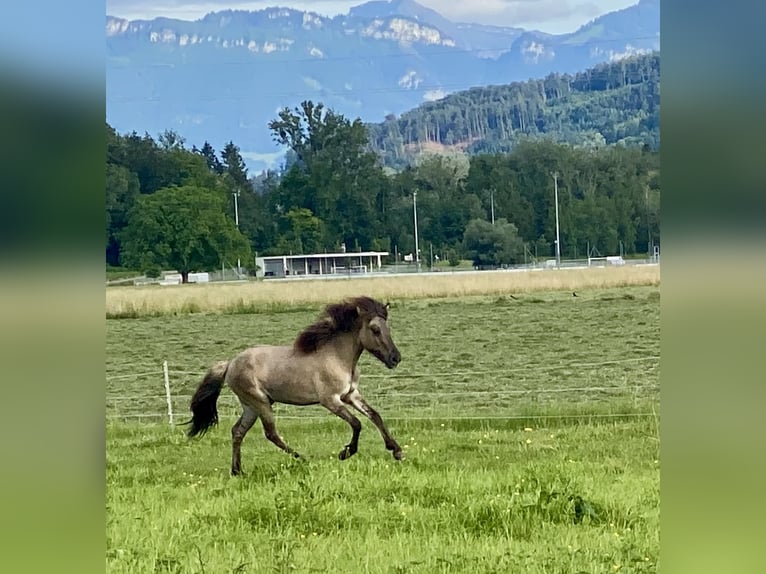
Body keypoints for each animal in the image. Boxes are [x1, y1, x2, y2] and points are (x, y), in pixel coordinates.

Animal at [187, 296, 404, 476]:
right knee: (271, 434)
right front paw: (346, 452)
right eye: (375, 330)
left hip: (250, 406)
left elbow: (375, 415)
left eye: (388, 329)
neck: (338, 358)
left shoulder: (351, 394)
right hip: (260, 402)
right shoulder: (330, 400)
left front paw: (397, 450)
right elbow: (357, 423)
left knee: (237, 431)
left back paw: (237, 471)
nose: (396, 358)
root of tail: (230, 363)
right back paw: (303, 458)